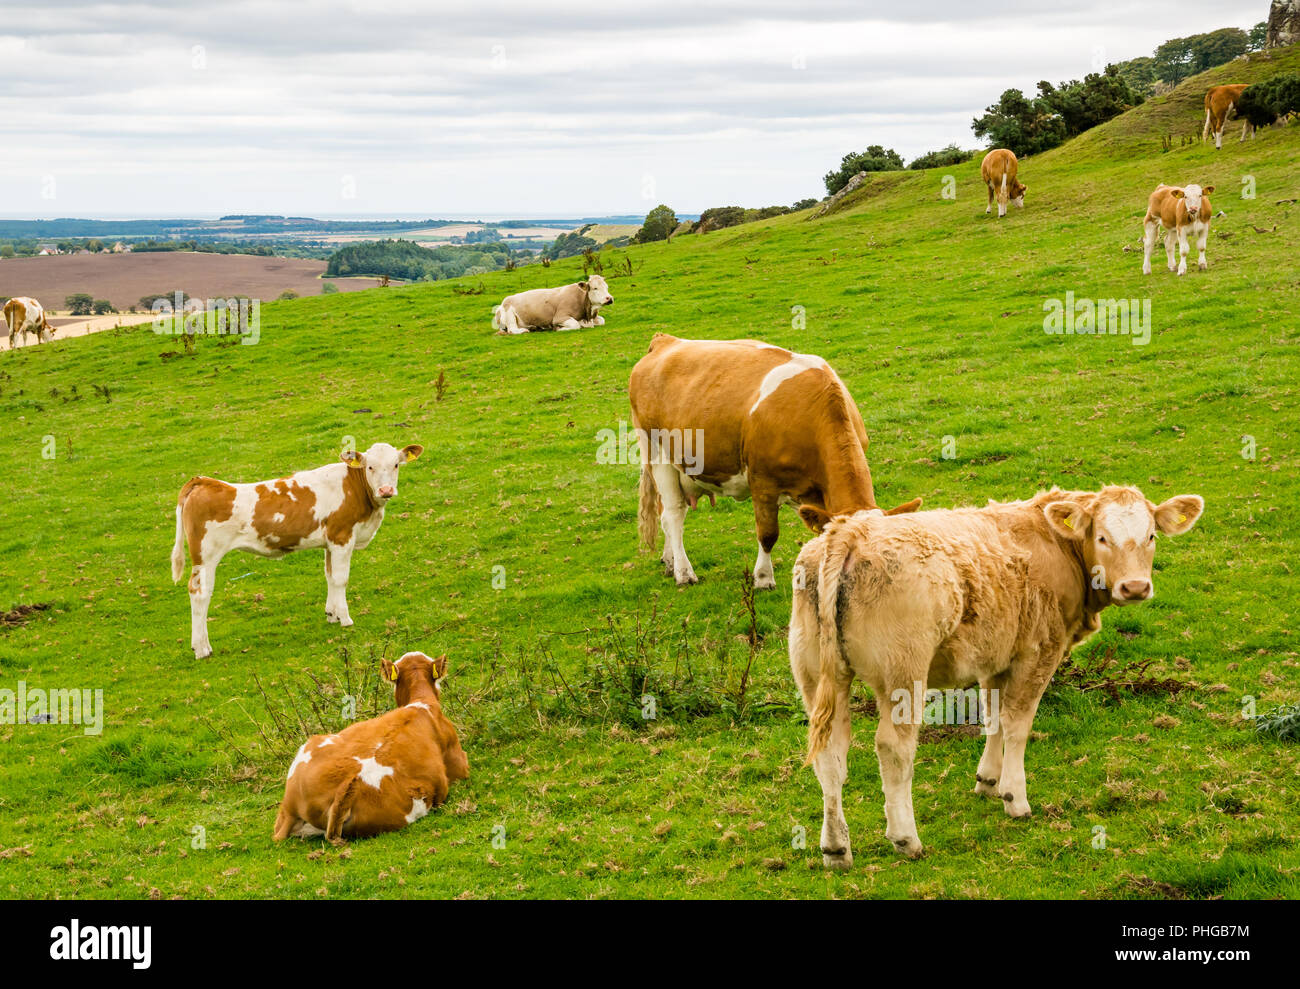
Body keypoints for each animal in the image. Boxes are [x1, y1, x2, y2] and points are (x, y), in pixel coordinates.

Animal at [170, 439, 423, 655]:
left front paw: (332, 614)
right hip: (205, 557)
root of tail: (204, 482)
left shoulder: (330, 542)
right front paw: (345, 619)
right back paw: (202, 648)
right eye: (370, 467)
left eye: (396, 464)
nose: (386, 490)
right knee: (200, 593)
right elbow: (341, 579)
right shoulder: (342, 537)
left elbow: (330, 576)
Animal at [626, 335, 915, 590]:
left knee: (665, 512)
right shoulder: (762, 481)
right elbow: (767, 533)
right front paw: (764, 578)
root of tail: (665, 340)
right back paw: (684, 573)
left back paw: (669, 562)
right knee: (673, 515)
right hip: (656, 452)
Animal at [790, 486, 1206, 862]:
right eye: (1102, 536)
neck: (1056, 545)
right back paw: (906, 838)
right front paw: (1014, 796)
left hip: (817, 677)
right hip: (903, 674)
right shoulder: (1039, 653)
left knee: (831, 753)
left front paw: (988, 779)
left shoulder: (994, 654)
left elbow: (994, 718)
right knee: (893, 748)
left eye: (1151, 536)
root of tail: (849, 531)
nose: (1134, 587)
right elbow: (1017, 725)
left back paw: (836, 847)